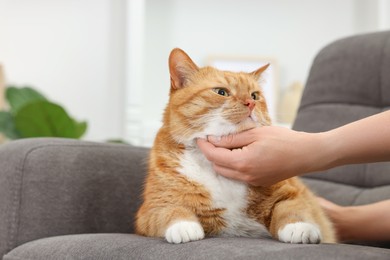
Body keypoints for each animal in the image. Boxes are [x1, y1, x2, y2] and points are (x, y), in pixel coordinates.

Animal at [135, 48, 336, 244]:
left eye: (255, 95)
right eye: (221, 92)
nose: (251, 103)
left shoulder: (291, 193)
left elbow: (291, 207)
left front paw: (298, 227)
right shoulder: (150, 209)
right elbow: (169, 210)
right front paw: (184, 226)